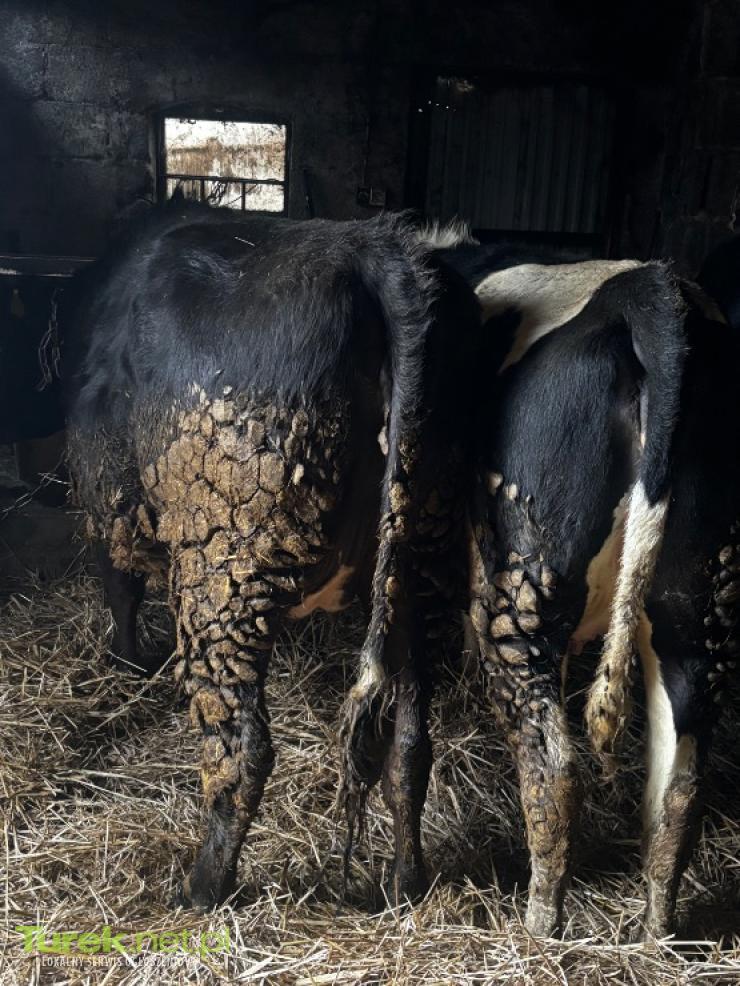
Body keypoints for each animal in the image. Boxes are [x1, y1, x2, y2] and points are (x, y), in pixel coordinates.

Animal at [61, 202, 480, 912]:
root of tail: (374, 249)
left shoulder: (109, 503)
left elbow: (120, 588)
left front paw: (126, 662)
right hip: (417, 568)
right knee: (409, 745)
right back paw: (406, 882)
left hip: (224, 568)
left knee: (243, 750)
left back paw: (202, 888)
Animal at [437, 240, 740, 938]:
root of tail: (652, 292)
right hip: (700, 595)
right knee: (682, 776)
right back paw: (655, 930)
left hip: (524, 579)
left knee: (554, 764)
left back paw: (539, 920)